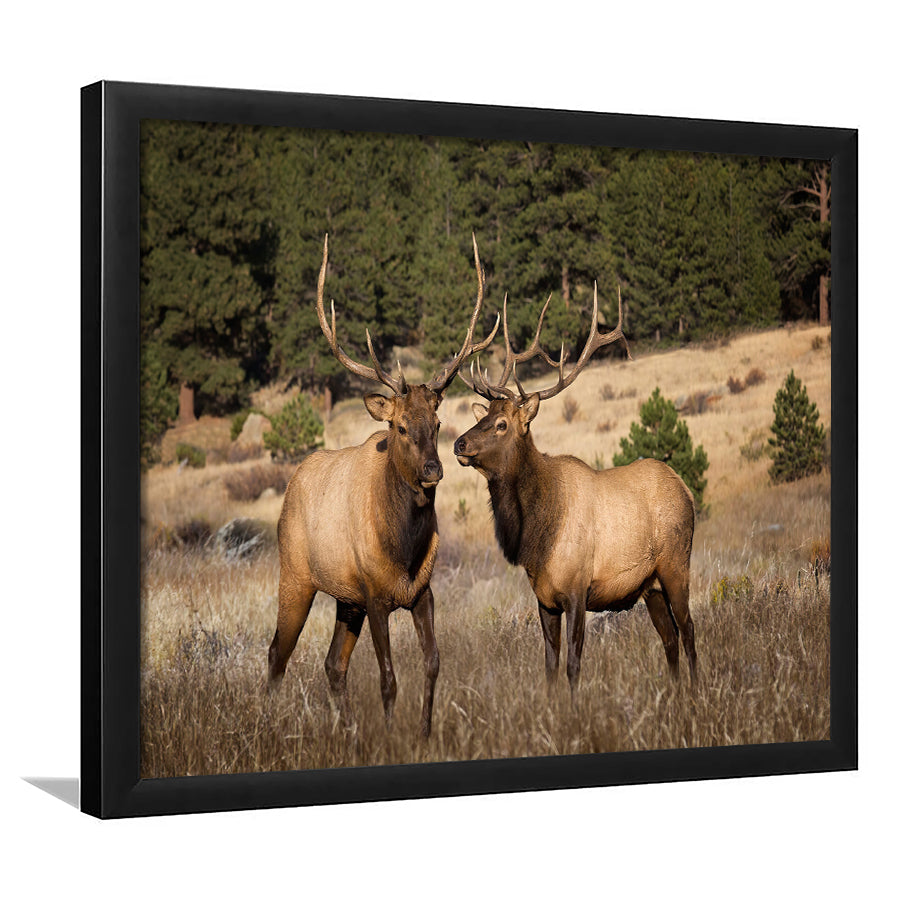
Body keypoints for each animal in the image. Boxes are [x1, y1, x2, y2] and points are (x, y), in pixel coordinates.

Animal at [267, 234, 499, 737]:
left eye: (437, 423)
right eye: (399, 427)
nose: (433, 470)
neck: (404, 549)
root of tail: (293, 483)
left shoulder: (422, 592)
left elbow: (433, 663)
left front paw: (424, 733)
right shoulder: (374, 595)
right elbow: (388, 678)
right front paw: (394, 736)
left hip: (344, 599)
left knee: (332, 665)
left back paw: (348, 732)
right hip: (296, 575)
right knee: (277, 653)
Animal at [453, 282, 698, 695]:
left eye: (502, 424)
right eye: (483, 417)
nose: (459, 443)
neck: (536, 535)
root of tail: (686, 488)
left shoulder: (578, 590)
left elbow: (573, 662)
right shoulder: (544, 598)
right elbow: (550, 664)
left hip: (676, 564)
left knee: (689, 630)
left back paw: (698, 691)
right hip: (649, 585)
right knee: (669, 637)